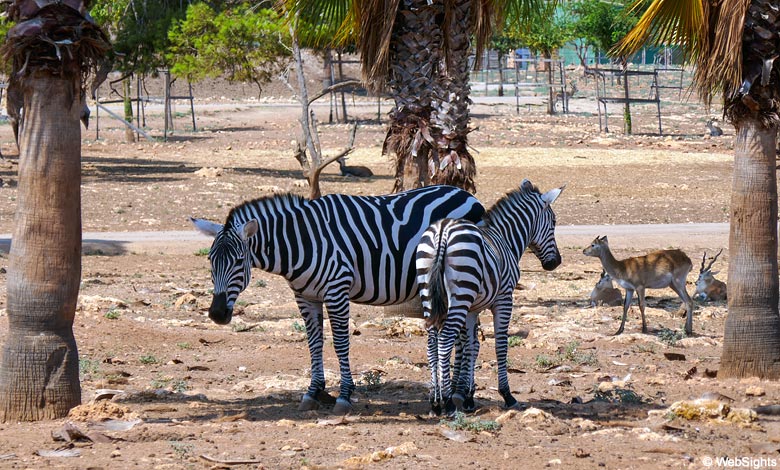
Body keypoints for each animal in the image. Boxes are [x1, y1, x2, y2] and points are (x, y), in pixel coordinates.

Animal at [190, 185, 482, 414]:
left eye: (240, 261)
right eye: (210, 260)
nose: (217, 314)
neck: (301, 242)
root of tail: (466, 194)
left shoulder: (336, 290)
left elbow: (341, 344)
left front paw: (343, 395)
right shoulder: (306, 297)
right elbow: (314, 343)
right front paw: (314, 392)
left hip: (465, 280)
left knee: (468, 338)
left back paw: (460, 395)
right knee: (461, 336)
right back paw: (457, 393)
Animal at [418, 180, 564, 414]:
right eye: (553, 222)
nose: (556, 262)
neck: (505, 237)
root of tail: (443, 231)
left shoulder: (472, 309)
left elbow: (471, 345)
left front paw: (468, 397)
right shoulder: (504, 298)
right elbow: (500, 344)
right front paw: (507, 394)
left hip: (429, 294)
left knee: (432, 342)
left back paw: (435, 401)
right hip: (460, 296)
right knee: (445, 339)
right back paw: (447, 403)